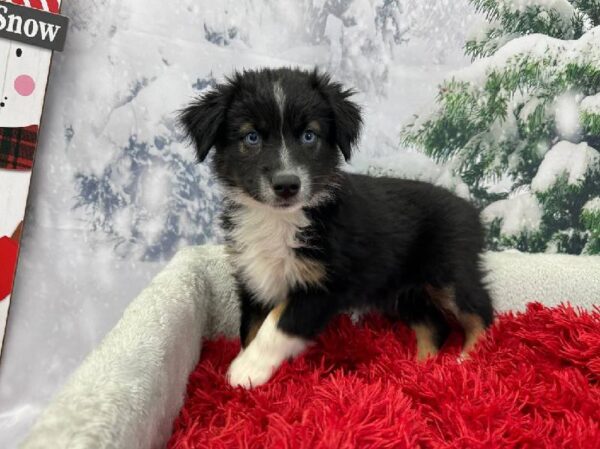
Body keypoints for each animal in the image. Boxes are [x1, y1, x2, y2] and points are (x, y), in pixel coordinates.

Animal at [180, 67, 494, 388]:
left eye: (309, 135)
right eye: (251, 137)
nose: (287, 185)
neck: (280, 220)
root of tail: (470, 209)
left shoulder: (327, 283)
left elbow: (278, 324)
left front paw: (247, 369)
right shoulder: (255, 279)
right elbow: (250, 328)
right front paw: (248, 371)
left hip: (449, 271)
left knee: (480, 312)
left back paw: (467, 362)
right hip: (402, 290)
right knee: (434, 325)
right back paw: (420, 370)